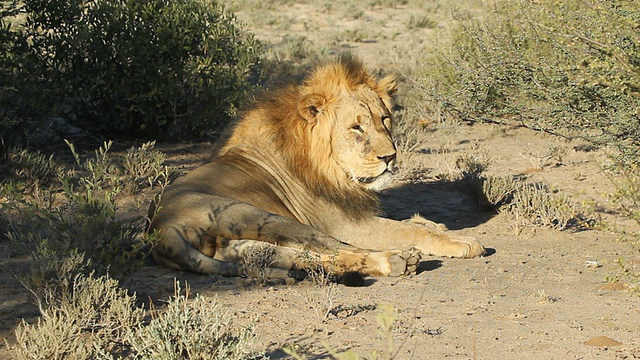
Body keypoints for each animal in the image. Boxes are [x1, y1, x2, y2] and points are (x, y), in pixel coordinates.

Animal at [148, 53, 482, 280]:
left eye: (385, 119)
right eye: (356, 128)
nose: (390, 157)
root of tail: (160, 228)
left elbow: (411, 223)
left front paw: (433, 224)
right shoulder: (346, 223)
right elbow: (404, 229)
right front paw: (458, 240)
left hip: (246, 240)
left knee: (295, 255)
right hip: (267, 217)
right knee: (337, 247)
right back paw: (396, 259)